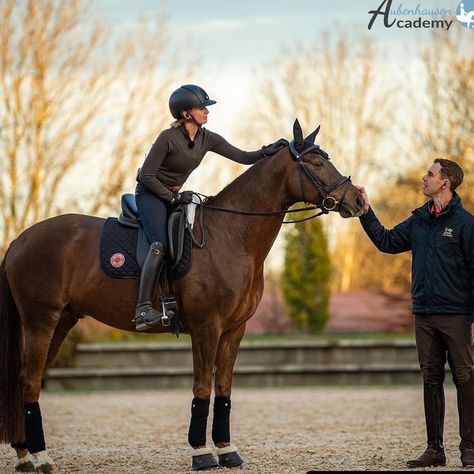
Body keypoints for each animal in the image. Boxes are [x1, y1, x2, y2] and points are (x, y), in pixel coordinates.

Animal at [0, 120, 362, 472]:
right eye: (316, 163)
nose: (358, 200)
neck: (229, 235)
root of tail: (20, 240)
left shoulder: (234, 331)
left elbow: (224, 388)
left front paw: (227, 450)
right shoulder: (206, 327)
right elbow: (202, 387)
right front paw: (201, 453)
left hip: (62, 321)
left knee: (28, 380)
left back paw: (25, 455)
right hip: (41, 321)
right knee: (29, 381)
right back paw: (41, 458)